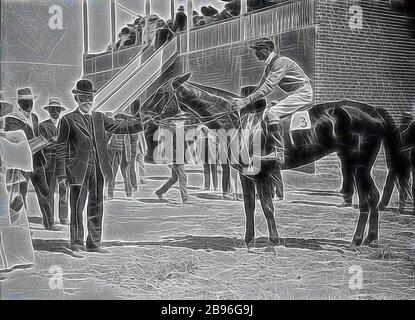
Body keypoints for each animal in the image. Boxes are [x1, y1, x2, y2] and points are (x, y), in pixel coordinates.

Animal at [139, 74, 410, 248]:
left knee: (369, 197)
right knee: (369, 198)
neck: (238, 121)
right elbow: (250, 207)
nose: (140, 113)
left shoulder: (261, 174)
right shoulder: (245, 174)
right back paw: (366, 239)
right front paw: (247, 240)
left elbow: (267, 206)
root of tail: (373, 111)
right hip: (355, 165)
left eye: (161, 93)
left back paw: (362, 240)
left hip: (359, 164)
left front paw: (274, 240)